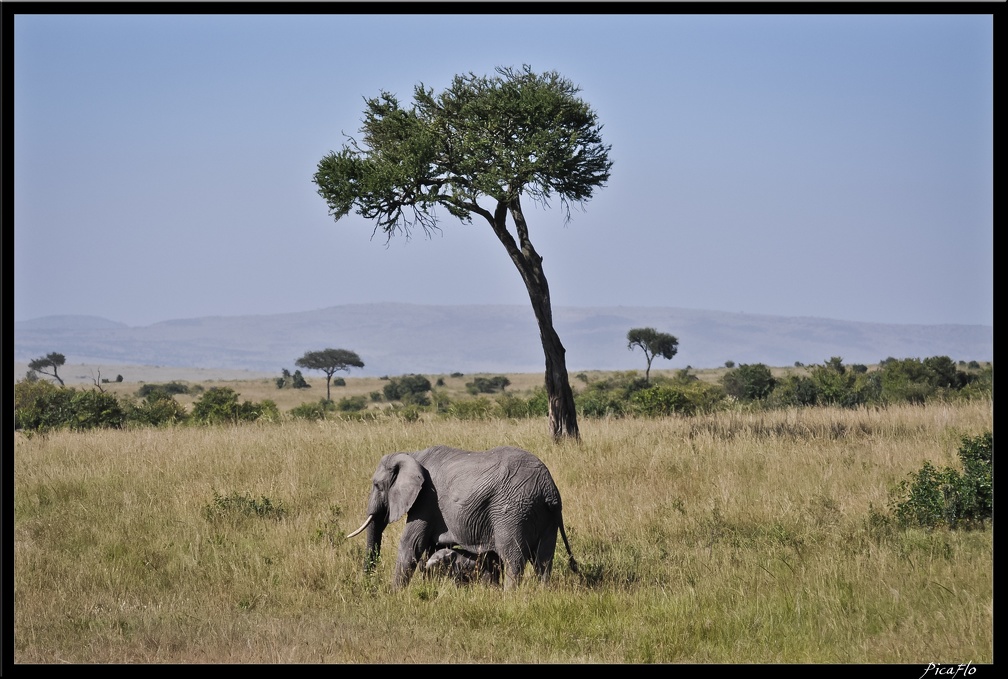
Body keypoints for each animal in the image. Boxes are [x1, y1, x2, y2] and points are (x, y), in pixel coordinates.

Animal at [346, 443, 580, 588]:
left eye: (377, 485)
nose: (368, 584)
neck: (412, 455)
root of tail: (549, 490)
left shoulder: (426, 500)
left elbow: (410, 544)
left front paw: (395, 594)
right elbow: (432, 548)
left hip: (513, 511)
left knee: (513, 558)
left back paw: (509, 598)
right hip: (545, 517)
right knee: (544, 560)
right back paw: (542, 593)